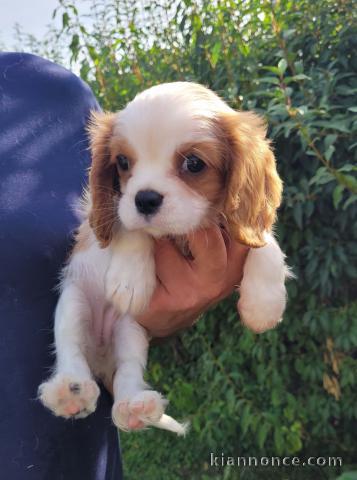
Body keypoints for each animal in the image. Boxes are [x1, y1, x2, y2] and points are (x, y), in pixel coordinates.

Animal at [38, 82, 290, 436]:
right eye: (122, 162)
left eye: (194, 164)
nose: (145, 199)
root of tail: (100, 357)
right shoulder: (112, 213)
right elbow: (132, 229)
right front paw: (129, 280)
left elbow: (264, 243)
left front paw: (263, 305)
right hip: (74, 302)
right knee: (70, 348)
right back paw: (70, 392)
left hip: (131, 330)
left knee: (128, 370)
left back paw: (133, 407)